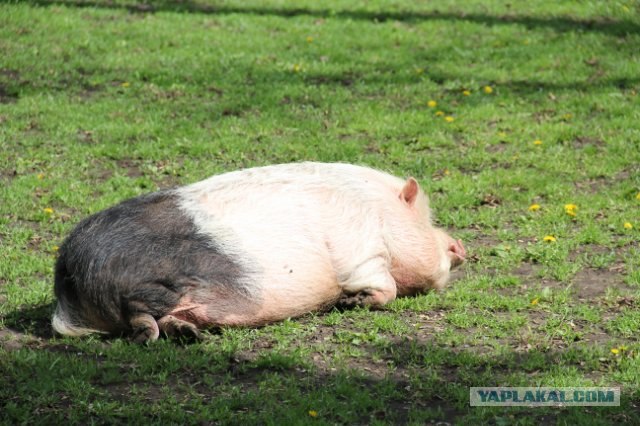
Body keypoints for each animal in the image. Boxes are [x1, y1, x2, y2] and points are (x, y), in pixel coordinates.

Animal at [53, 161, 464, 342]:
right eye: (425, 217)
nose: (458, 245)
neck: (380, 213)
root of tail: (68, 274)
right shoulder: (361, 254)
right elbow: (385, 287)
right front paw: (350, 302)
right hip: (151, 286)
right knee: (139, 315)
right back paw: (162, 334)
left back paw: (191, 333)